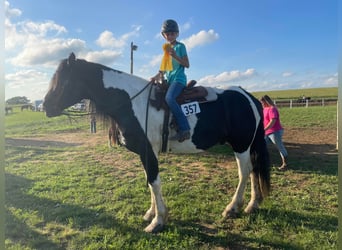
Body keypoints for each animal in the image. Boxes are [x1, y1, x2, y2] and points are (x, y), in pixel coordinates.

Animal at [43, 53, 270, 234]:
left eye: (63, 81)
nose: (45, 106)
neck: (132, 101)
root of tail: (248, 96)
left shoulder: (148, 150)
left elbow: (154, 182)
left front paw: (158, 220)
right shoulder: (147, 152)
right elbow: (150, 179)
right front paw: (151, 213)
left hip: (241, 145)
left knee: (244, 171)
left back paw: (232, 207)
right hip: (248, 145)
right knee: (254, 169)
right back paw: (253, 204)